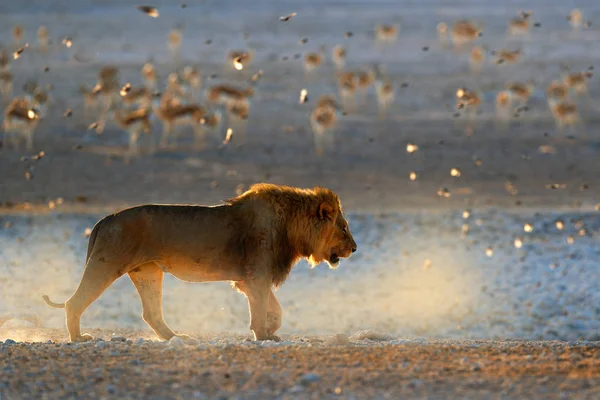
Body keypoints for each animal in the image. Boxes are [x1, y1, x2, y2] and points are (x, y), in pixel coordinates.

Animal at [43, 183, 356, 342]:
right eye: (344, 227)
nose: (354, 248)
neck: (292, 225)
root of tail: (104, 218)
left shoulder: (249, 279)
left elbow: (275, 309)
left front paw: (270, 330)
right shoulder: (256, 275)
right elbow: (262, 307)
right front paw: (263, 335)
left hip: (148, 273)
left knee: (151, 314)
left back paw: (177, 338)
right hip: (106, 264)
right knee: (74, 302)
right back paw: (78, 338)